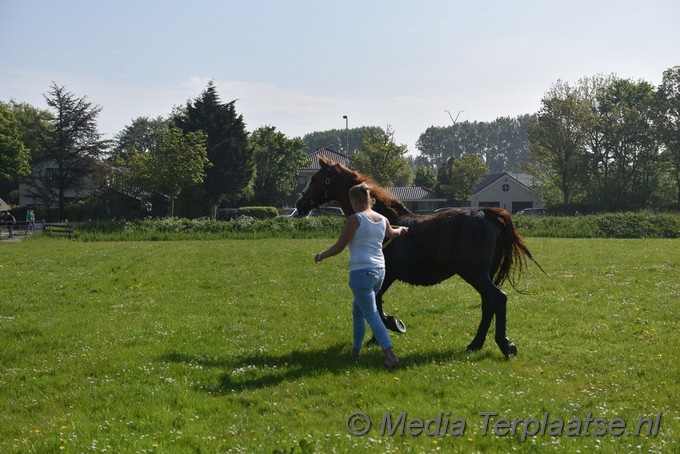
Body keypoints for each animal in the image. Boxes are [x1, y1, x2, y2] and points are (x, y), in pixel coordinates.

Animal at [294, 157, 544, 358]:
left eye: (315, 178)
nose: (300, 205)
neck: (385, 219)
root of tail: (485, 212)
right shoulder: (386, 277)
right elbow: (376, 302)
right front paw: (379, 334)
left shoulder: (387, 275)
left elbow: (376, 304)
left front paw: (393, 324)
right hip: (483, 275)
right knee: (488, 304)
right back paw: (475, 344)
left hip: (475, 274)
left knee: (498, 299)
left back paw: (504, 345)